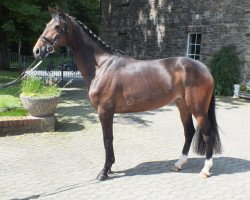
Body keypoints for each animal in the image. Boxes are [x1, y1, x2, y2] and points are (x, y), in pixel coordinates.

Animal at [32, 7, 221, 180]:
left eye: (57, 26)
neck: (101, 66)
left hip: (198, 109)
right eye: (47, 25)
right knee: (189, 132)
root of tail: (205, 68)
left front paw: (104, 172)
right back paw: (179, 164)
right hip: (183, 106)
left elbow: (107, 140)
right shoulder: (107, 113)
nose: (37, 51)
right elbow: (110, 139)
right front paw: (109, 168)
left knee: (207, 134)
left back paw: (205, 169)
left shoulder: (104, 112)